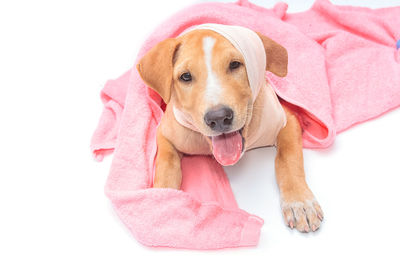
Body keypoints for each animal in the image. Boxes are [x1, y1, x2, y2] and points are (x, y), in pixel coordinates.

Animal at [136, 25, 324, 234]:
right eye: (185, 76)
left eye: (234, 65)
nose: (219, 118)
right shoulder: (166, 133)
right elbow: (166, 163)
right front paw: (163, 201)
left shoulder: (286, 121)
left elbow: (288, 158)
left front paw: (299, 202)